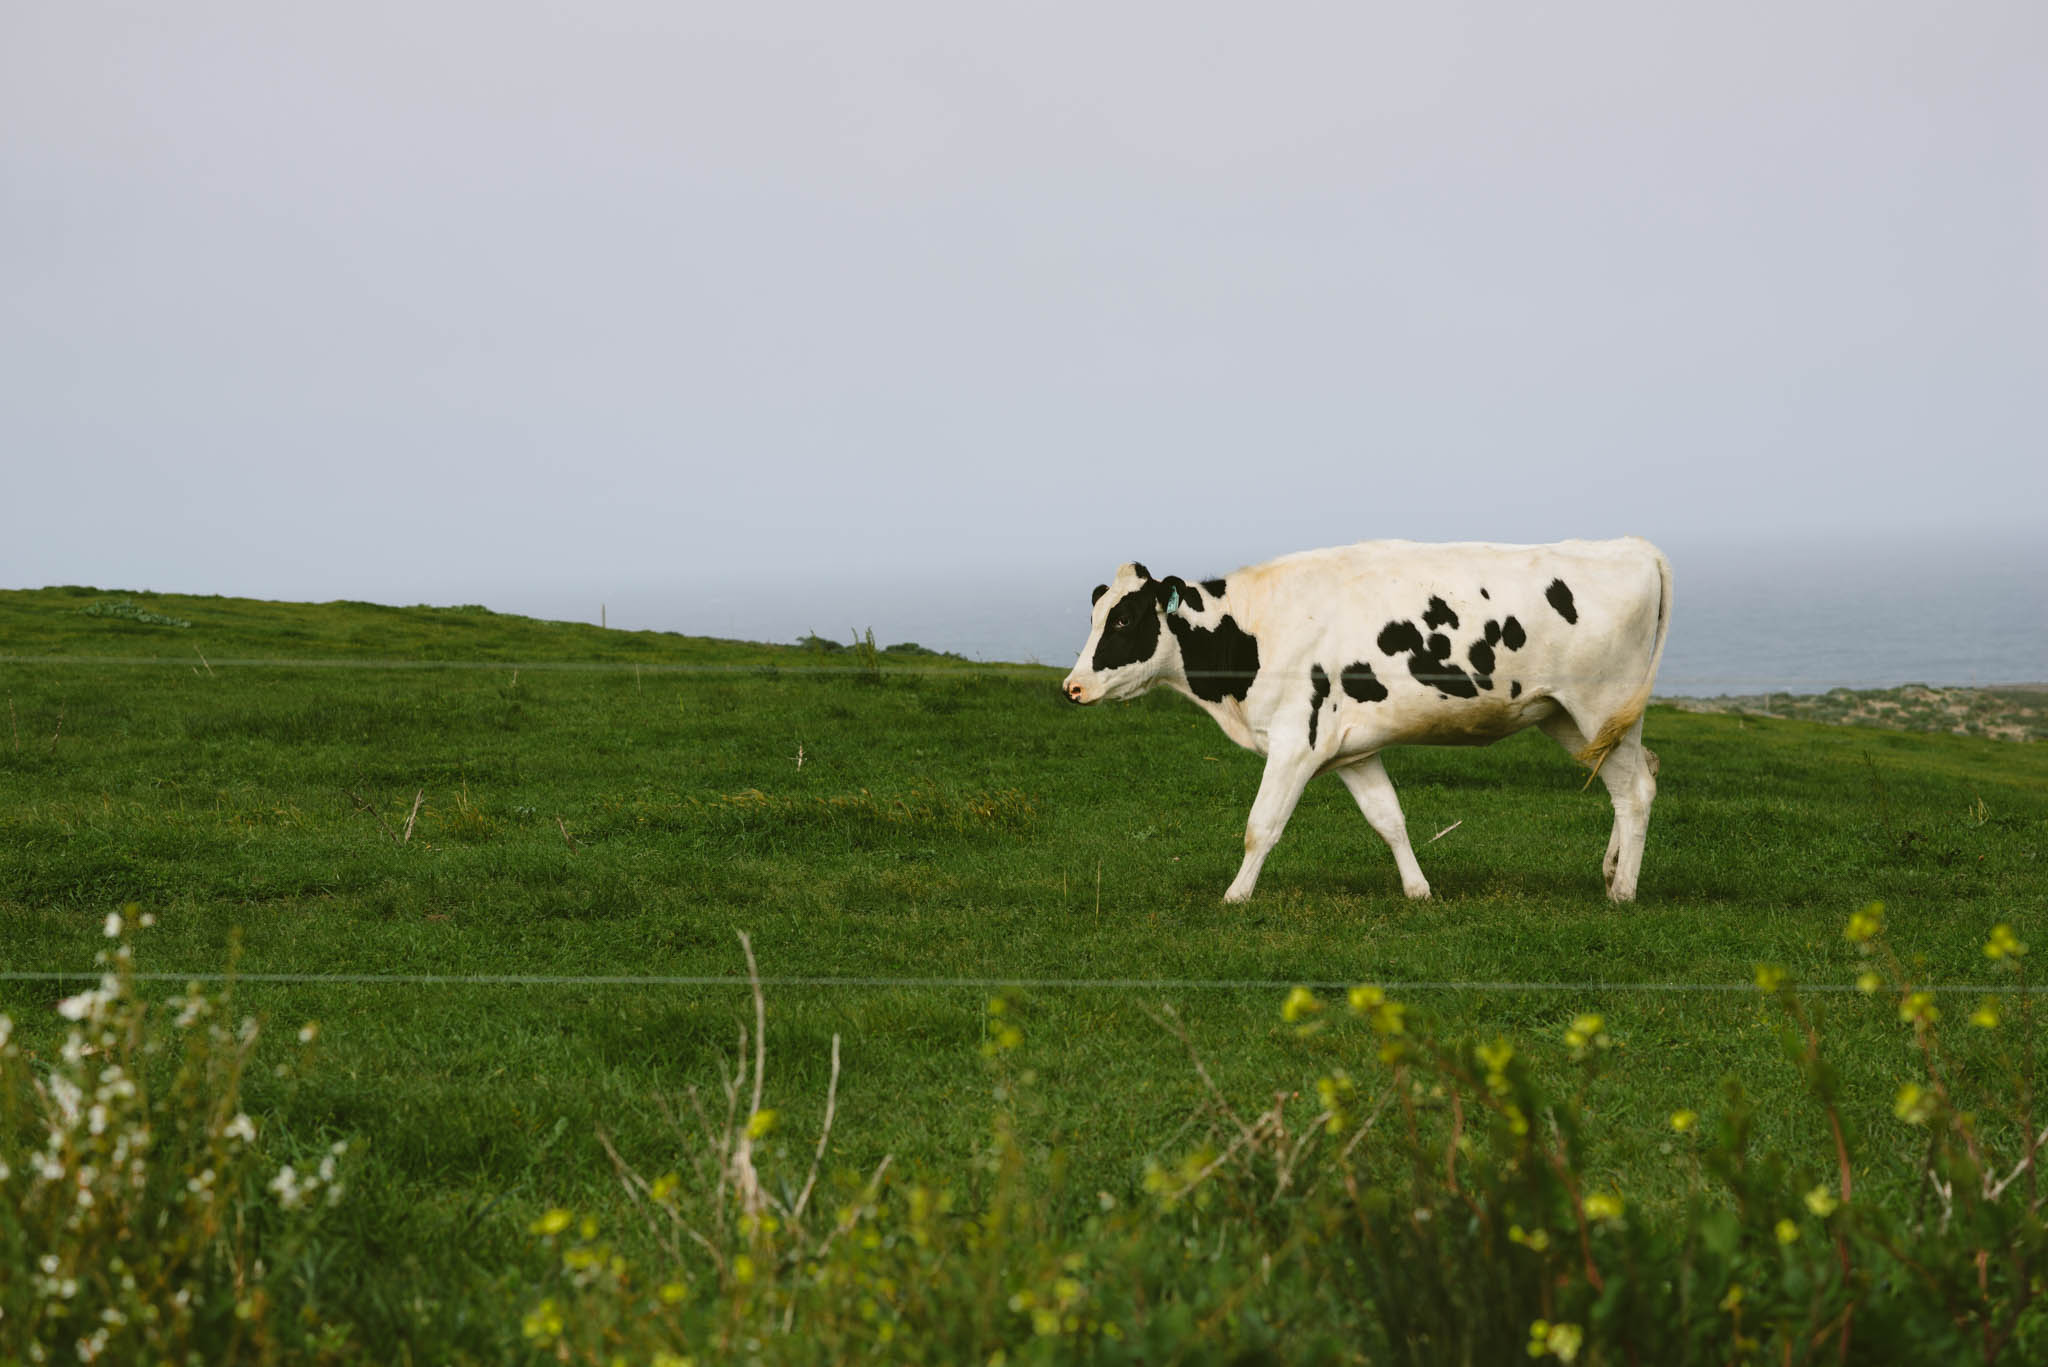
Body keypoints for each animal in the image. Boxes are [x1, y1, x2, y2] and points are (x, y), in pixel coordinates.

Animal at [1064, 541, 1671, 901]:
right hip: (1573, 718)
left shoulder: (1297, 740)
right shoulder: (1352, 750)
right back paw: (1612, 869)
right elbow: (1389, 820)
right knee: (1633, 777)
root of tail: (1629, 546)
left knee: (1635, 789)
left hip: (1600, 705)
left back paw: (1623, 892)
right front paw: (1419, 891)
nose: (1073, 686)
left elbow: (1261, 826)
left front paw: (1235, 897)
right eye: (1096, 614)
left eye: (1124, 619)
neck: (1253, 631)